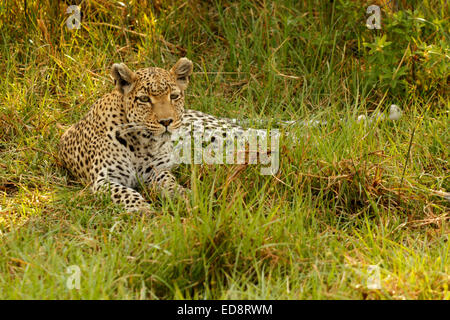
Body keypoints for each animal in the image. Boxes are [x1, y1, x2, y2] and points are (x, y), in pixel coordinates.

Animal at [57, 58, 246, 212]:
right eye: (144, 99)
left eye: (174, 96)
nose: (166, 121)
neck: (141, 143)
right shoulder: (104, 180)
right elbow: (124, 192)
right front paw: (142, 209)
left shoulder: (157, 170)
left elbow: (169, 182)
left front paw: (185, 195)